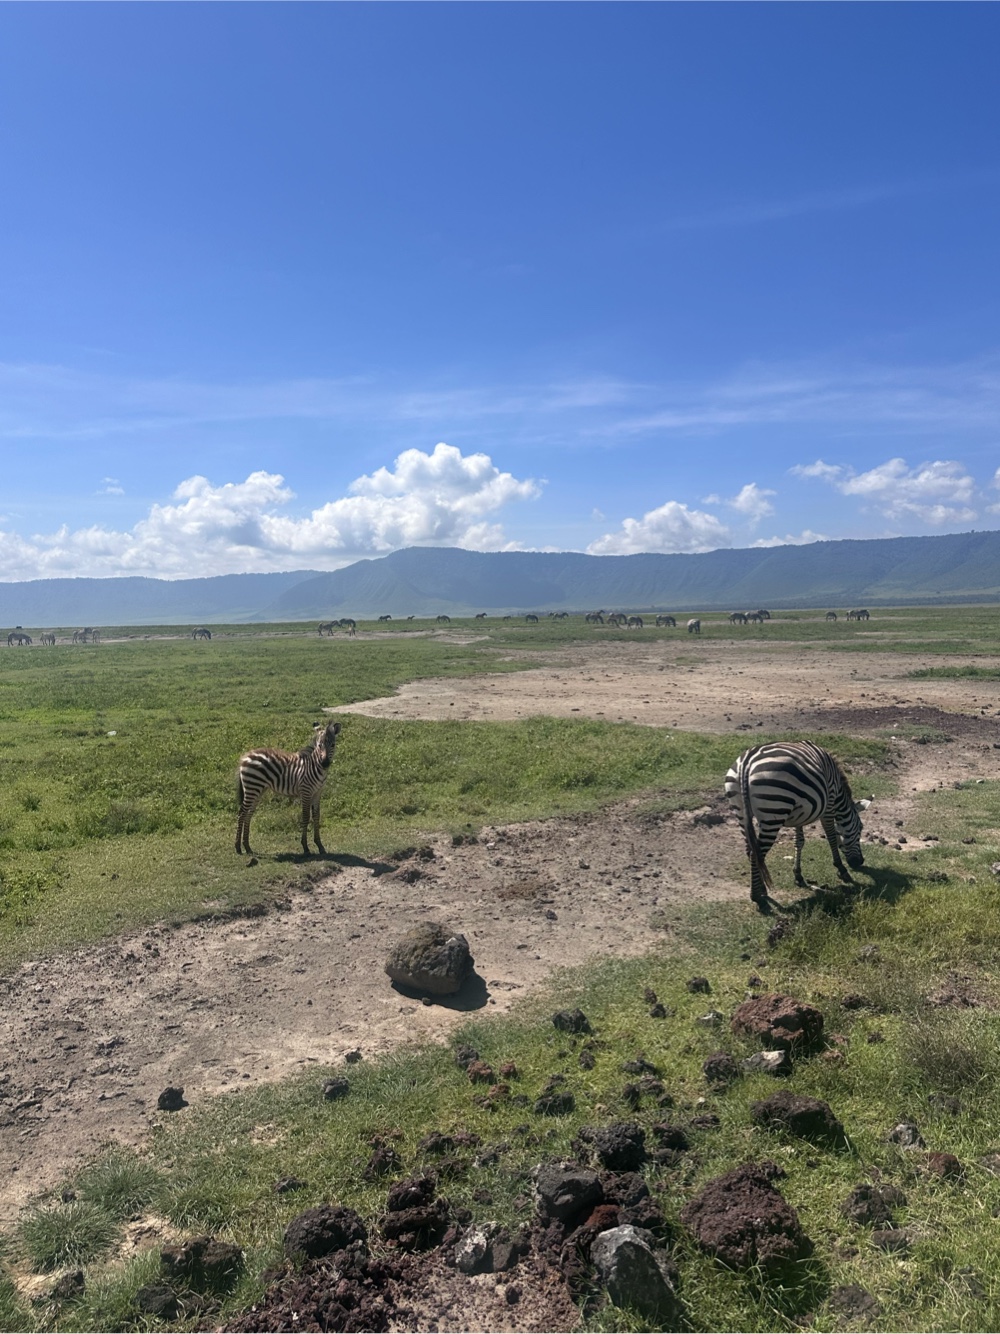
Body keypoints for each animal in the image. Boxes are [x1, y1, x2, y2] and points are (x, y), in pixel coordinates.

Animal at [236, 720, 342, 856]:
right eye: (319, 745)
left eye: (333, 744)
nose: (325, 763)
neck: (314, 765)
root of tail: (246, 755)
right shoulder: (306, 791)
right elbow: (306, 817)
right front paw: (305, 847)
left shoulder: (317, 793)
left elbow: (316, 817)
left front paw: (320, 846)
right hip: (252, 787)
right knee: (241, 813)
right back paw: (238, 847)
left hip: (258, 790)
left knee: (248, 813)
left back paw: (247, 847)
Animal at [725, 741, 870, 911]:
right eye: (860, 829)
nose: (860, 862)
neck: (838, 794)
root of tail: (747, 763)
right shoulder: (828, 807)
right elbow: (831, 837)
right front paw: (842, 869)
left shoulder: (800, 814)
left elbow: (799, 842)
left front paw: (798, 876)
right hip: (773, 813)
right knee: (756, 853)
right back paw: (756, 896)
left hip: (741, 812)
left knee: (751, 851)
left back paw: (762, 889)